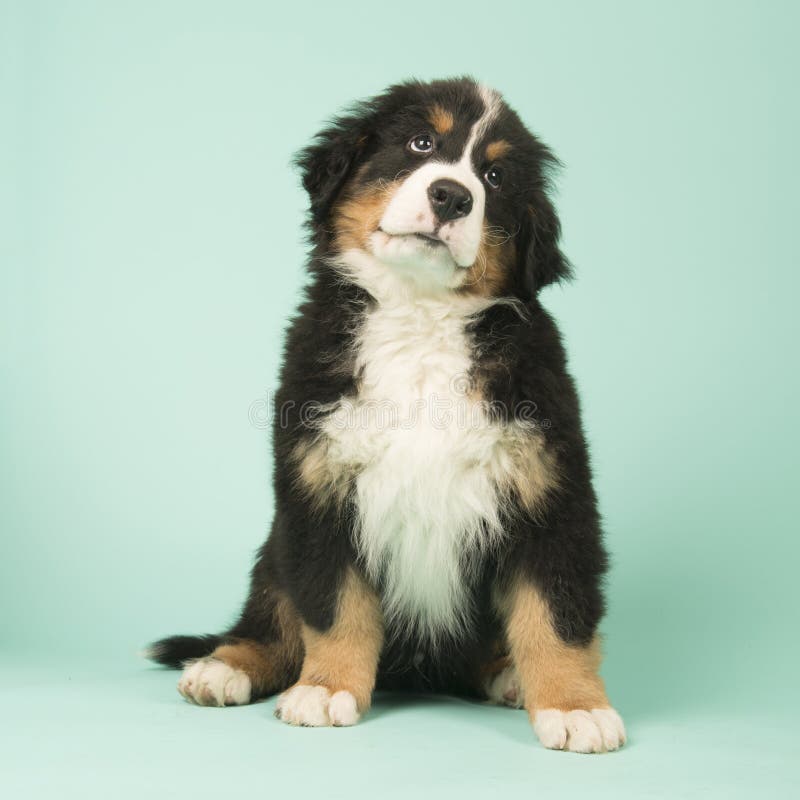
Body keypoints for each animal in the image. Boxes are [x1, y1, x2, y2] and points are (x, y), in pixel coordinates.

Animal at [147, 78, 628, 752]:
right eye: (421, 142)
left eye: (496, 176)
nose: (452, 195)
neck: (418, 320)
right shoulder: (319, 491)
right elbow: (334, 607)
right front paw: (326, 688)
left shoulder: (549, 494)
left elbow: (555, 615)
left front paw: (574, 705)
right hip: (275, 547)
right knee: (270, 617)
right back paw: (225, 666)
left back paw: (508, 675)